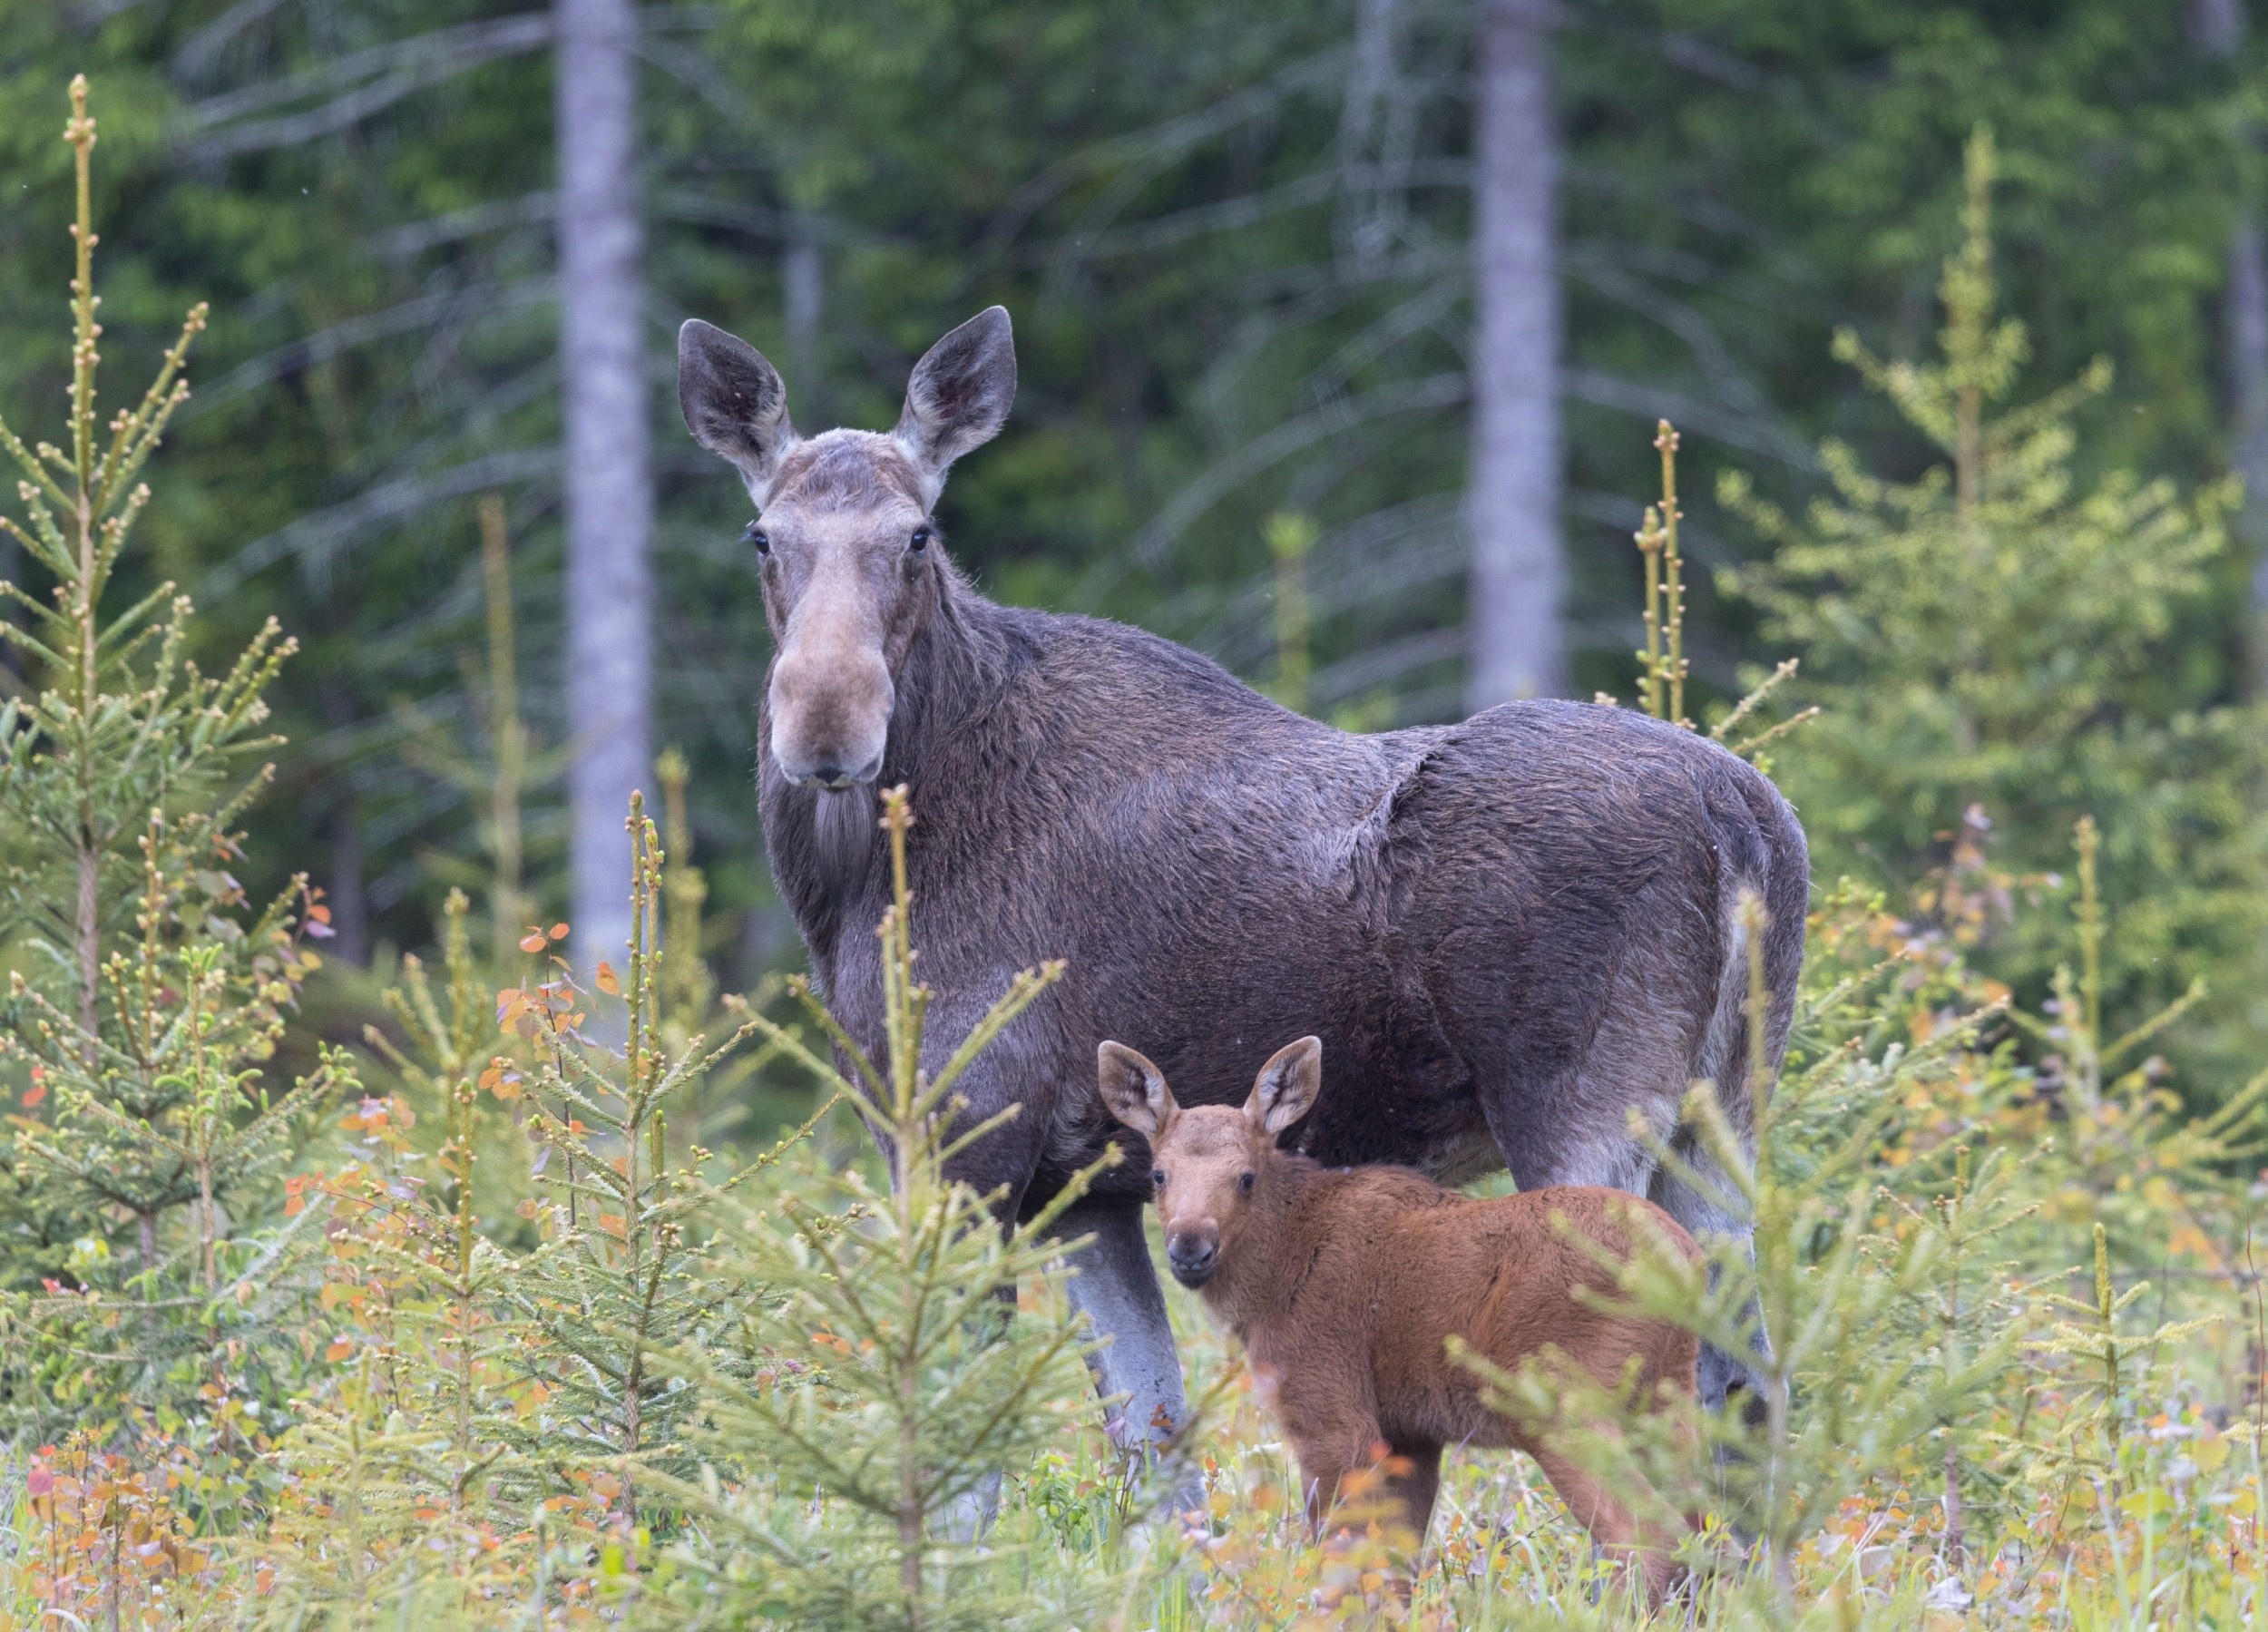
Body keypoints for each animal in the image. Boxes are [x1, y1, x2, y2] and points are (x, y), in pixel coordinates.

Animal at [675, 305, 1808, 1496]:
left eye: (918, 534)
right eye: (762, 537)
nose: (825, 723)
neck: (849, 889)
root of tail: (1747, 821)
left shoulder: (963, 1131)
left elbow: (961, 1454)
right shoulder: (1090, 1189)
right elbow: (1157, 1453)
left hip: (1590, 1108)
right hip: (1723, 1117)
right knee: (1751, 1392)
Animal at [1098, 1034, 1701, 1606]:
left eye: (1245, 1177)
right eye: (1159, 1175)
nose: (1189, 1247)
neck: (1271, 1278)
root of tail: (1683, 1263)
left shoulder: (1330, 1413)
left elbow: (1343, 1564)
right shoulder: (1411, 1433)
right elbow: (1395, 1570)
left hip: (1565, 1408)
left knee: (1650, 1539)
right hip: (1666, 1402)